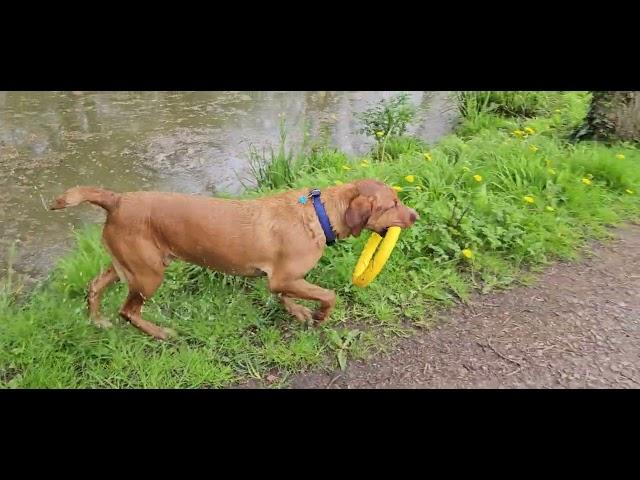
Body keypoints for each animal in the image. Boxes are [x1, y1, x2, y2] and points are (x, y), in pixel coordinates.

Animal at [51, 178, 420, 340]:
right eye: (392, 204)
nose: (416, 216)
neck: (319, 213)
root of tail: (117, 200)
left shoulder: (280, 279)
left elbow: (283, 294)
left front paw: (299, 311)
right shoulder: (285, 277)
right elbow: (328, 295)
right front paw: (318, 316)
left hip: (126, 266)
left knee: (95, 287)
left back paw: (97, 321)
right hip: (149, 275)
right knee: (128, 311)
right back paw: (160, 333)